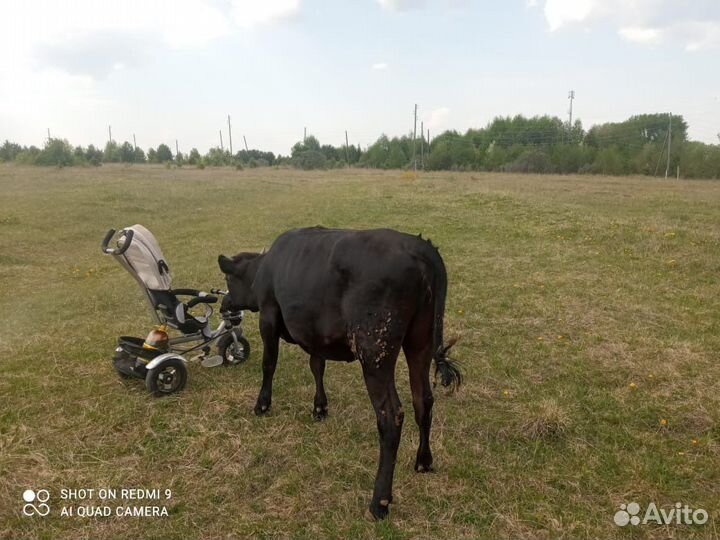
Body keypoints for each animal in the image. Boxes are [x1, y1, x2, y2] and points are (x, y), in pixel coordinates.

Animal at [218, 226, 461, 520]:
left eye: (228, 279)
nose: (223, 304)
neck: (263, 269)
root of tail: (420, 247)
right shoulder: (314, 333)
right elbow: (317, 367)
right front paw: (320, 408)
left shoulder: (268, 315)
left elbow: (269, 363)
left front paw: (262, 404)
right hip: (420, 341)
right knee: (422, 399)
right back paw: (424, 461)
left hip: (374, 348)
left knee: (391, 415)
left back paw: (379, 501)